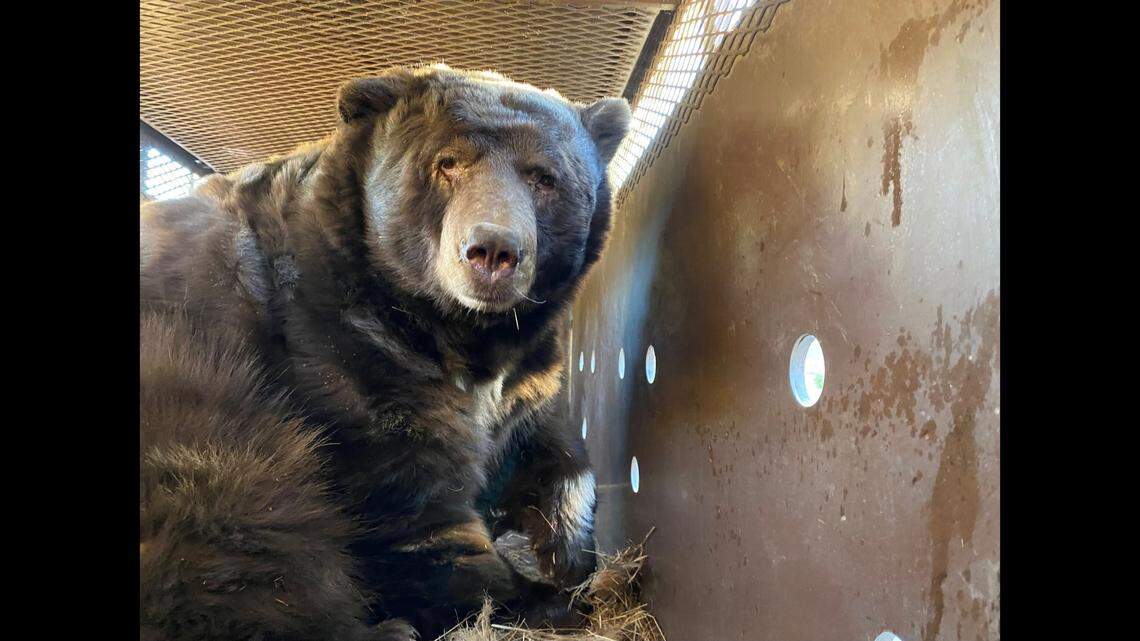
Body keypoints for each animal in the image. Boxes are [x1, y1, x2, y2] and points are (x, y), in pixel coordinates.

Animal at [140, 64, 631, 640]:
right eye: (447, 163)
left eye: (544, 177)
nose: (493, 250)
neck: (460, 333)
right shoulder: (347, 358)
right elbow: (417, 521)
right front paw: (538, 593)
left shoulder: (527, 379)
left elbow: (553, 448)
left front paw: (560, 550)